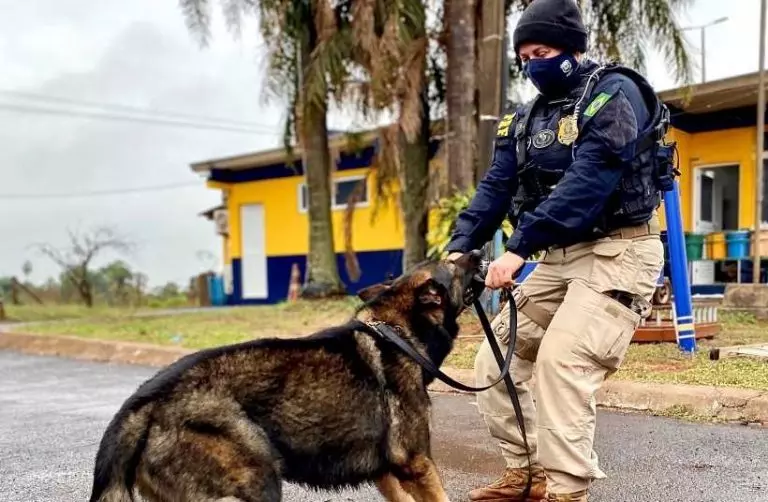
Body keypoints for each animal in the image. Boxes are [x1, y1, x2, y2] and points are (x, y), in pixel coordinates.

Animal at [88, 250, 484, 502]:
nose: (478, 250)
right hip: (257, 481)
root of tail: (143, 405)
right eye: (453, 263)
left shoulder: (386, 474)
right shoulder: (417, 465)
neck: (398, 334)